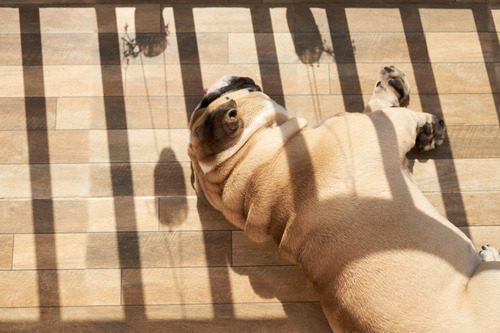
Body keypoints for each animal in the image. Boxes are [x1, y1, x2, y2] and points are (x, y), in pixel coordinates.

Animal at [188, 68, 500, 332]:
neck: (247, 159)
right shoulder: (382, 126)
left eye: (204, 102)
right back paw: (489, 254)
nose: (230, 79)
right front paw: (394, 87)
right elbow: (384, 109)